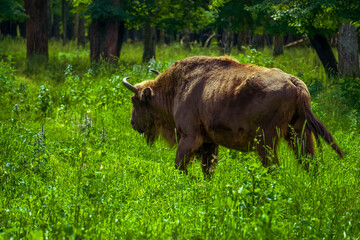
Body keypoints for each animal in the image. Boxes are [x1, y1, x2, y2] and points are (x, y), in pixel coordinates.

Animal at [123, 56, 344, 176]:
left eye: (135, 101)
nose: (133, 123)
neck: (177, 88)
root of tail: (295, 83)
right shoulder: (209, 143)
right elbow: (208, 169)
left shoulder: (190, 137)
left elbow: (180, 165)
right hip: (299, 135)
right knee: (309, 162)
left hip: (265, 141)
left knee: (274, 166)